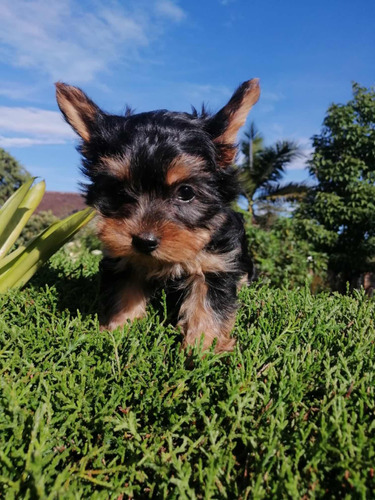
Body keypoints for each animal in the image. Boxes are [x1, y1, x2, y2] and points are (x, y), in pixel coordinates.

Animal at [56, 78, 262, 352]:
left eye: (185, 192)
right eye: (119, 191)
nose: (144, 241)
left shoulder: (215, 264)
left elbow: (209, 307)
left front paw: (203, 348)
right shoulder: (124, 261)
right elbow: (124, 294)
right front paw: (117, 331)